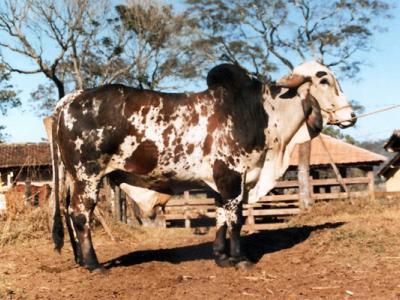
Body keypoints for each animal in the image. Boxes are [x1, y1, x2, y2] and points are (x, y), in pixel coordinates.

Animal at [46, 61, 356, 272]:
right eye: (324, 79)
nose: (351, 115)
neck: (260, 113)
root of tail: (71, 99)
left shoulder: (222, 183)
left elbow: (220, 218)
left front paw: (221, 256)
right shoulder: (233, 177)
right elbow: (235, 220)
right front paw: (240, 259)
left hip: (75, 178)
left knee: (70, 212)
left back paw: (79, 259)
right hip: (88, 176)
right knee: (80, 215)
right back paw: (93, 264)